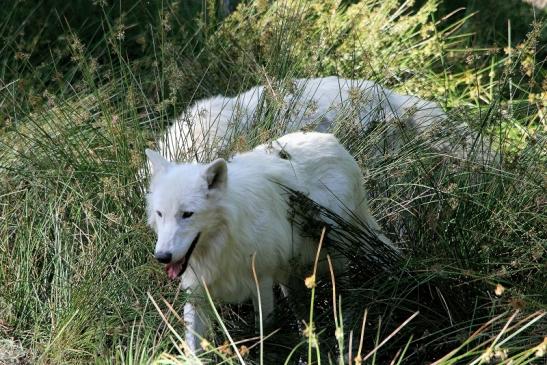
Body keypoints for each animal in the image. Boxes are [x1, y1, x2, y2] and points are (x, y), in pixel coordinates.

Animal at [146, 130, 394, 350]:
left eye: (187, 214)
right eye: (160, 214)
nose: (162, 257)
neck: (222, 245)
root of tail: (334, 141)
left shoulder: (261, 283)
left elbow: (262, 331)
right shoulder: (197, 292)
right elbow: (192, 347)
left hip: (333, 257)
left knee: (345, 293)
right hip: (290, 277)